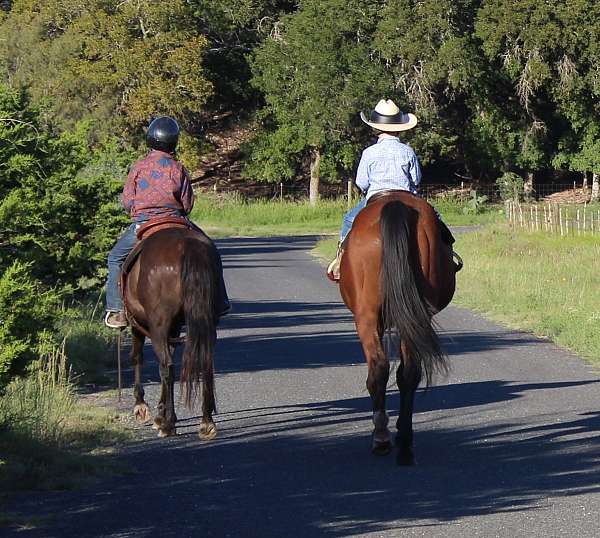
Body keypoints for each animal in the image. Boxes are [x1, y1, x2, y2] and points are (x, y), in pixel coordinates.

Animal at [123, 224, 221, 438]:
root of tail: (189, 246)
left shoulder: (138, 325)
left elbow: (137, 357)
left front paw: (143, 408)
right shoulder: (174, 329)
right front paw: (163, 413)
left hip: (158, 326)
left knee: (166, 366)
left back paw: (167, 425)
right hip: (207, 323)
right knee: (204, 363)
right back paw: (206, 422)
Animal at [340, 191, 458, 462]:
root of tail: (394, 204)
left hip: (367, 318)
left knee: (379, 369)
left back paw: (381, 437)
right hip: (415, 317)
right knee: (409, 372)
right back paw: (404, 438)